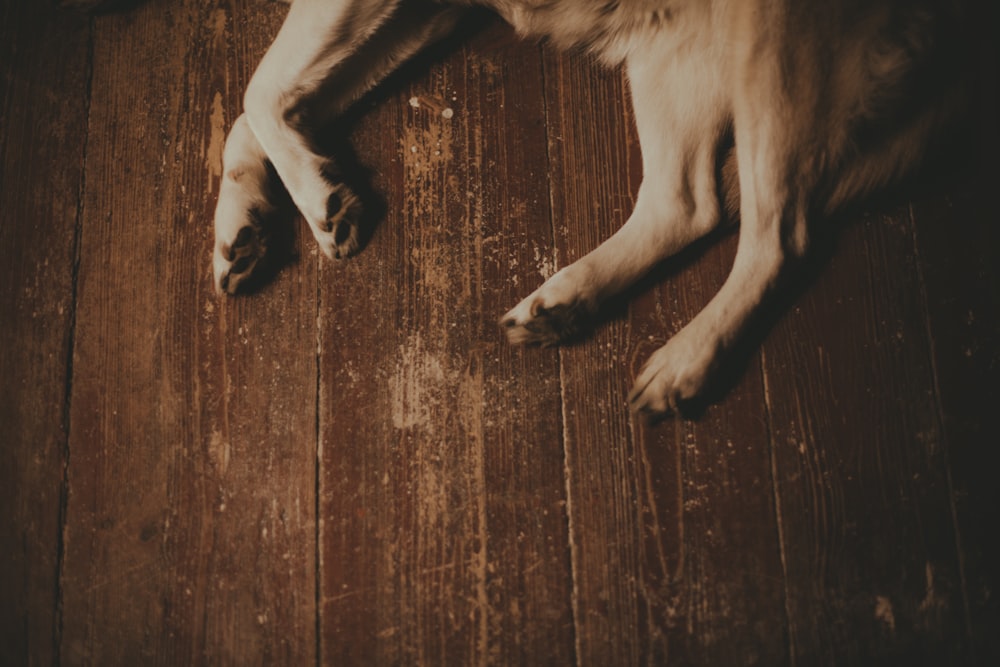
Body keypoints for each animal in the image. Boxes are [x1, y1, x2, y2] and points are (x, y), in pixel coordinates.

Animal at [68, 1, 968, 418]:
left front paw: (319, 203)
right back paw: (566, 301)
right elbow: (261, 106)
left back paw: (686, 359)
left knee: (781, 235)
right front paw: (249, 222)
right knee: (688, 204)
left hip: (772, 48)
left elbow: (259, 92)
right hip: (671, 61)